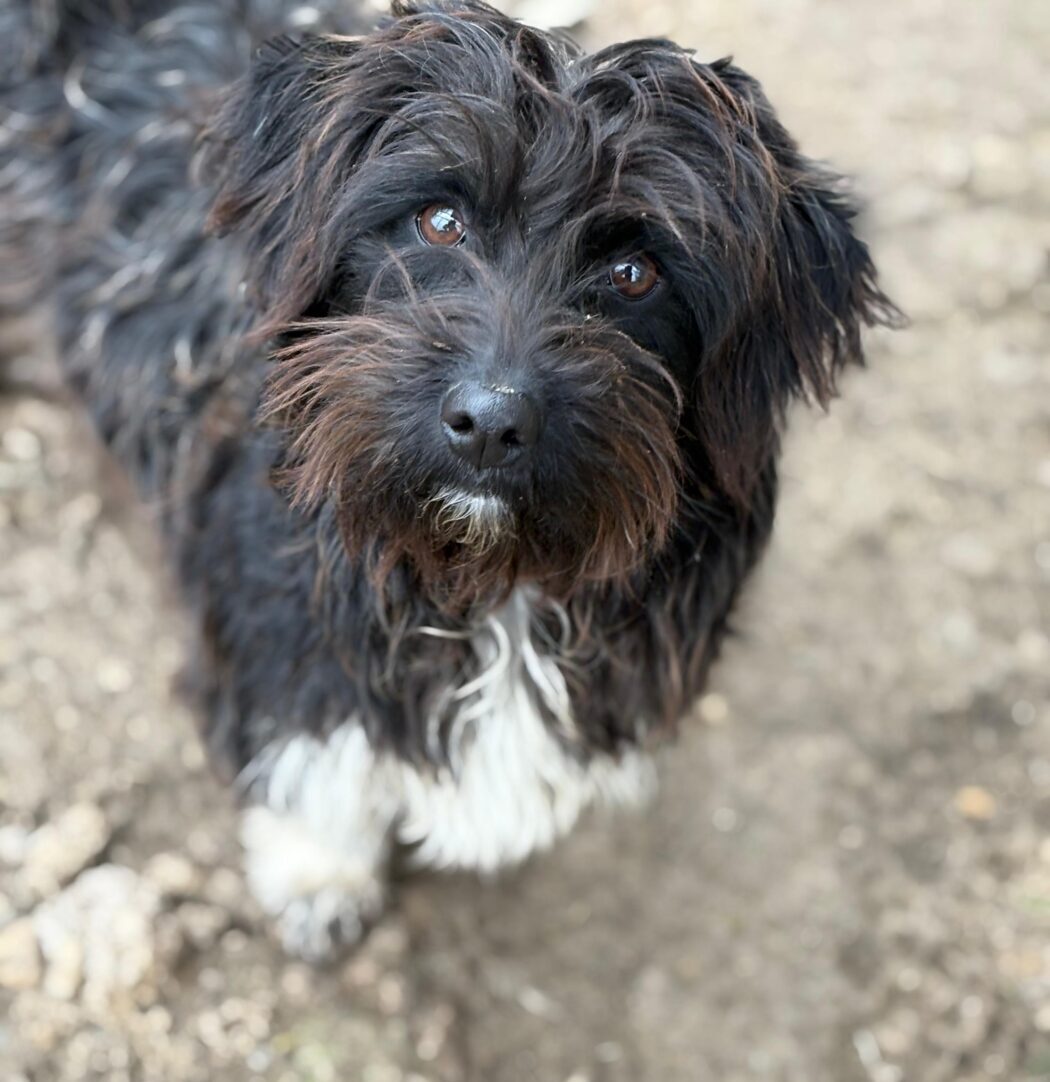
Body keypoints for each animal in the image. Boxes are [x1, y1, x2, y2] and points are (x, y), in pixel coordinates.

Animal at [2, 0, 897, 960]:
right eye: (438, 221)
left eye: (634, 272)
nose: (491, 424)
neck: (487, 579)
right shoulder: (282, 637)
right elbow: (312, 765)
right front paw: (319, 873)